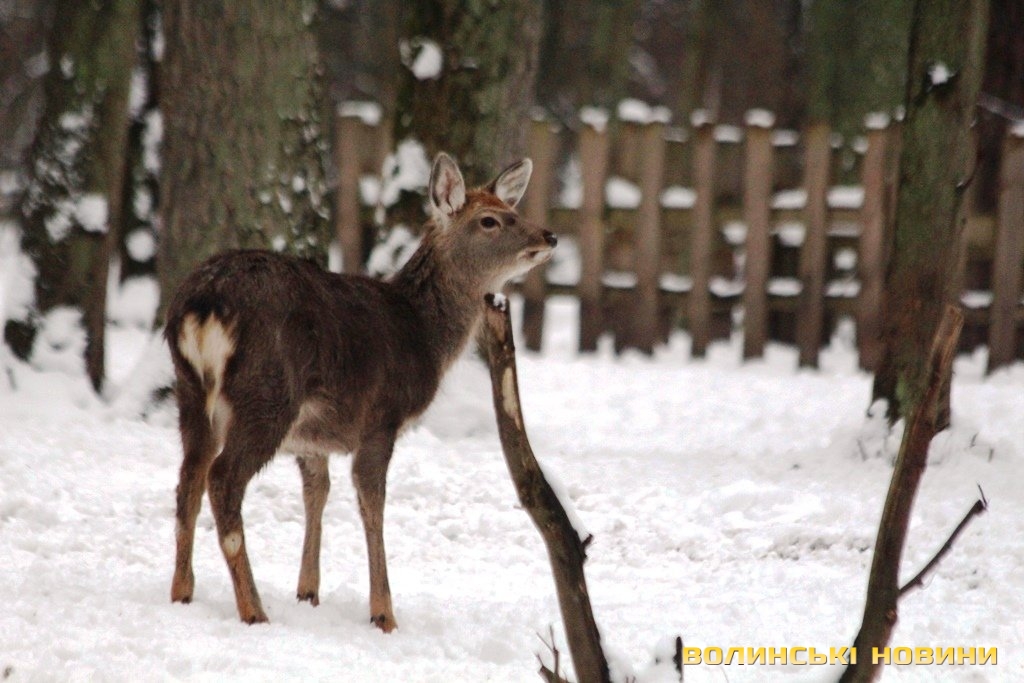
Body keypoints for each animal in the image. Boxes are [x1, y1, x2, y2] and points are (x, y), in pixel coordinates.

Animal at [165, 152, 556, 632]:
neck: (423, 334)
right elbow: (373, 504)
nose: (549, 236)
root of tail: (203, 304)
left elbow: (318, 493)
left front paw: (308, 593)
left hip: (189, 390)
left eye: (510, 209)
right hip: (267, 394)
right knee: (222, 478)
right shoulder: (381, 418)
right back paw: (253, 610)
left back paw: (182, 593)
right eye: (490, 220)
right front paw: (384, 614)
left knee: (189, 477)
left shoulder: (312, 437)